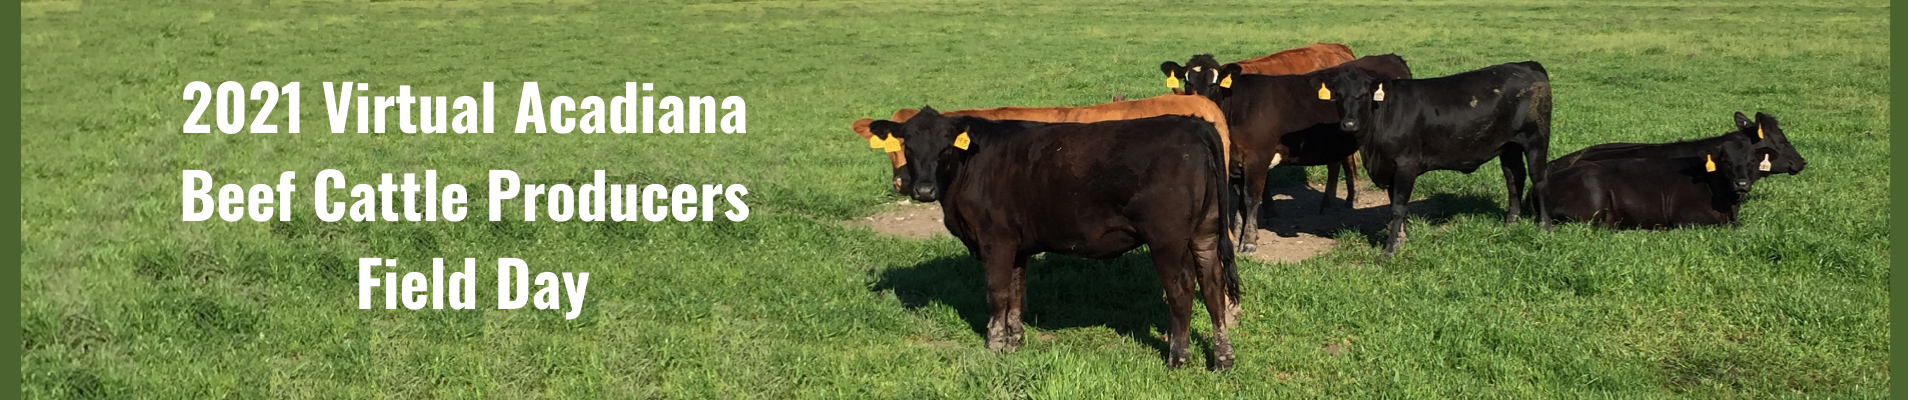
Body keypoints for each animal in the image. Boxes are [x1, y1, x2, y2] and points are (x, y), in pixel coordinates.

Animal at [866, 108, 1242, 370]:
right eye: (908, 145)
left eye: (945, 147)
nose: (923, 190)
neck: (971, 164)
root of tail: (1192, 124)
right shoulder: (1018, 246)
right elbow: (1016, 291)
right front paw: (1015, 340)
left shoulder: (995, 240)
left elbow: (997, 293)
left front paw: (993, 345)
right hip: (1206, 232)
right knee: (1213, 288)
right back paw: (1223, 358)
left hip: (1167, 240)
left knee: (1182, 291)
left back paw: (1178, 357)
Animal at [1160, 54, 1413, 252]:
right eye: (1187, 82)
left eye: (1214, 84)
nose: (1201, 105)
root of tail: (1391, 57)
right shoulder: (1235, 162)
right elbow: (1240, 200)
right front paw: (1238, 234)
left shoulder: (1257, 158)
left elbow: (1251, 198)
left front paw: (1249, 241)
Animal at [1322, 61, 1554, 259]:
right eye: (1338, 95)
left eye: (1363, 95)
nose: (1349, 124)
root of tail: (1527, 65)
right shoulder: (1390, 168)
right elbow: (1394, 205)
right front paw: (1400, 240)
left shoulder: (1406, 165)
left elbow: (1398, 208)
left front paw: (1389, 250)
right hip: (1509, 146)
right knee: (1514, 178)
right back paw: (1511, 222)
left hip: (1536, 139)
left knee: (1539, 179)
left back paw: (1544, 226)